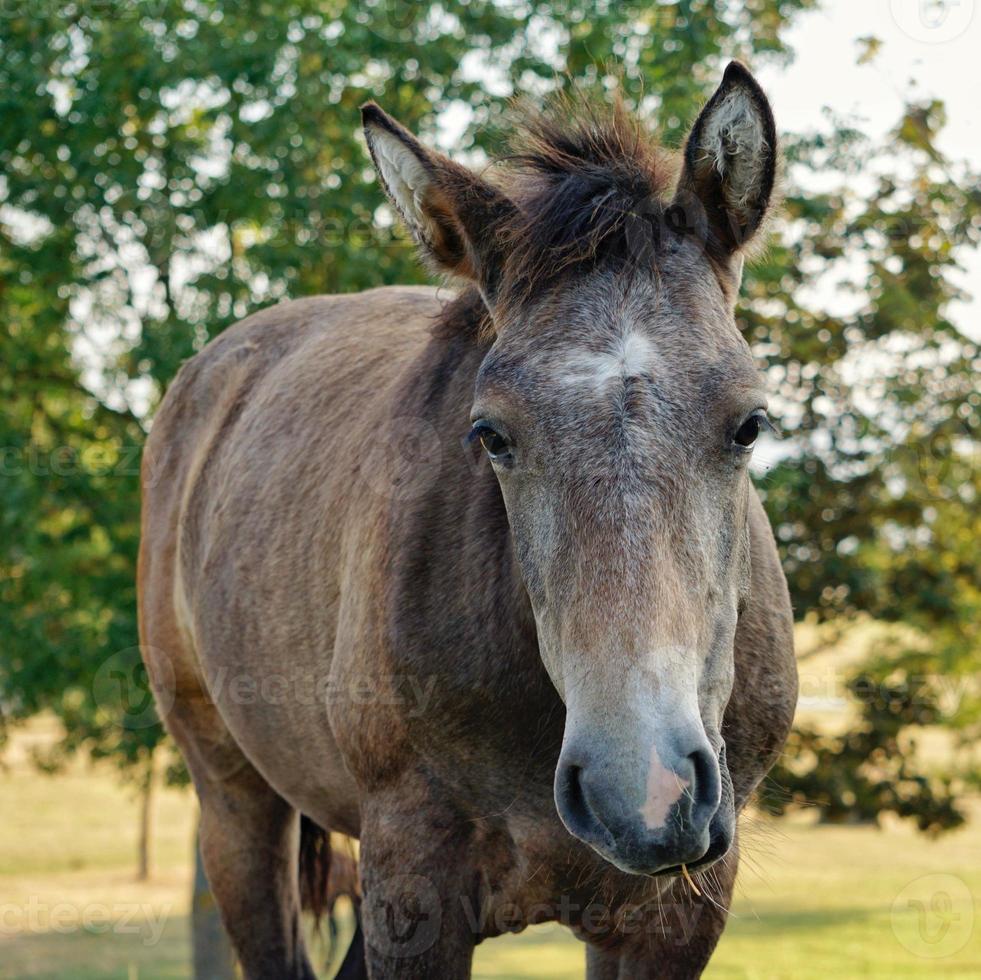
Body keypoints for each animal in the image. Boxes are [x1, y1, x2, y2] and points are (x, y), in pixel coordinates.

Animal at [138, 63, 796, 980]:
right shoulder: (413, 887)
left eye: (749, 423)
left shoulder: (672, 916)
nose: (643, 788)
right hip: (237, 804)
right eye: (491, 434)